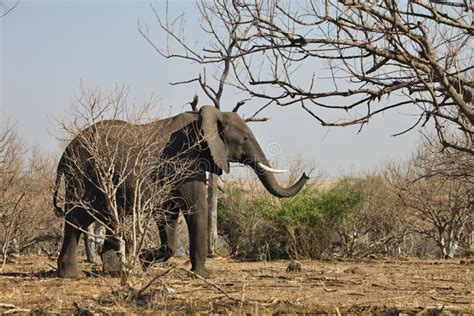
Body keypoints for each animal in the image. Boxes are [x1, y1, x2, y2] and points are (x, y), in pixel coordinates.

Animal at [53, 105, 310, 276]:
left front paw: (145, 261)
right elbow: (195, 208)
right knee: (77, 216)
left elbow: (168, 214)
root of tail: (65, 153)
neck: (206, 117)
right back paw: (72, 275)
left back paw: (113, 272)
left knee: (105, 218)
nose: (307, 173)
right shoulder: (184, 161)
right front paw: (202, 276)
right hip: (83, 174)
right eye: (245, 138)